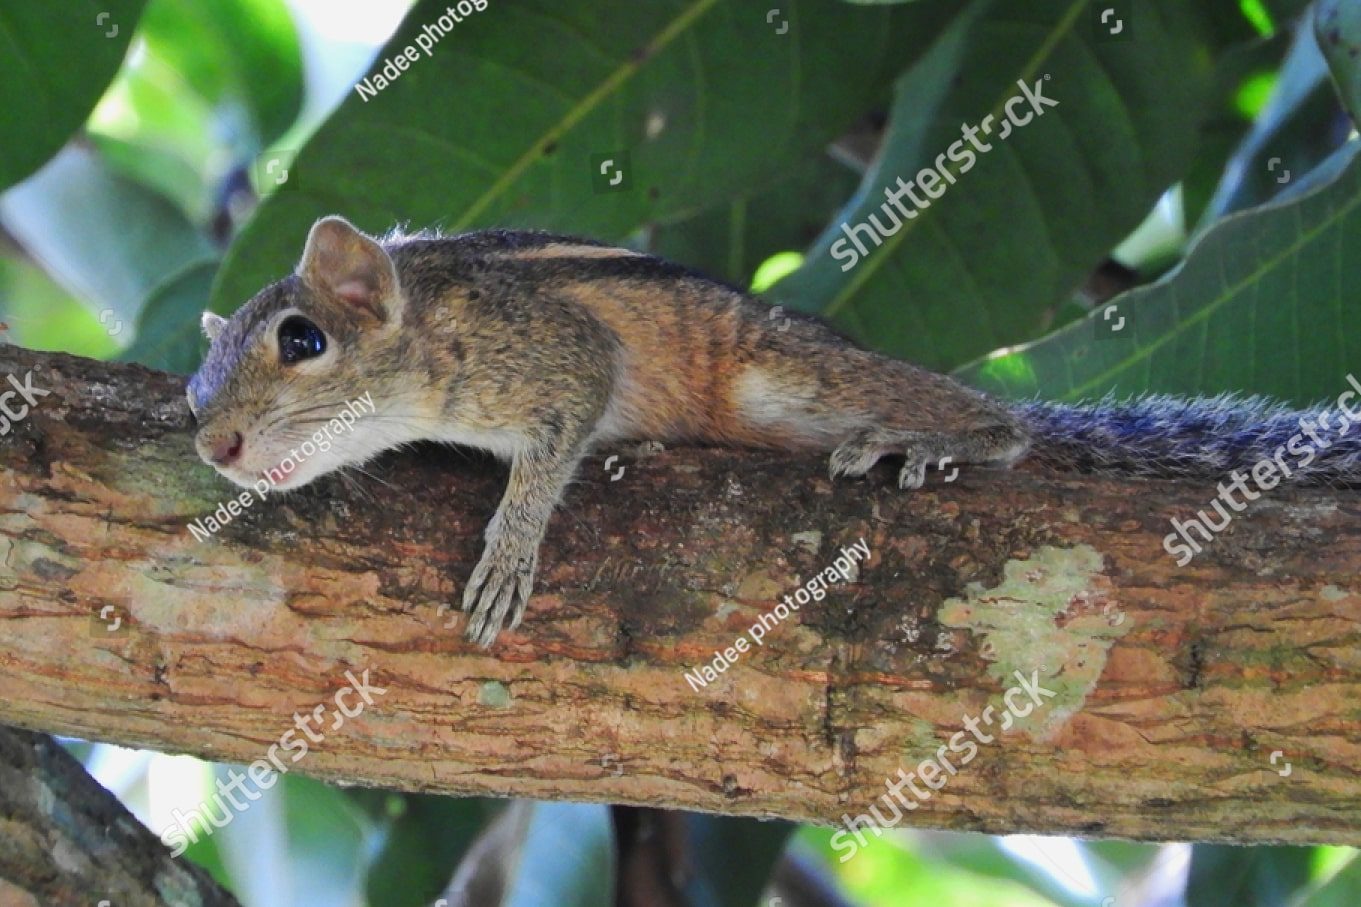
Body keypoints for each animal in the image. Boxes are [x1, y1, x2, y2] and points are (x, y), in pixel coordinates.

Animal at [187, 216, 1361, 646]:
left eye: (301, 340)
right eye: (195, 391)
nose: (214, 447)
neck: (429, 323)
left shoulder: (555, 355)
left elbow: (554, 443)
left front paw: (510, 551)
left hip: (787, 378)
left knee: (1003, 424)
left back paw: (936, 439)